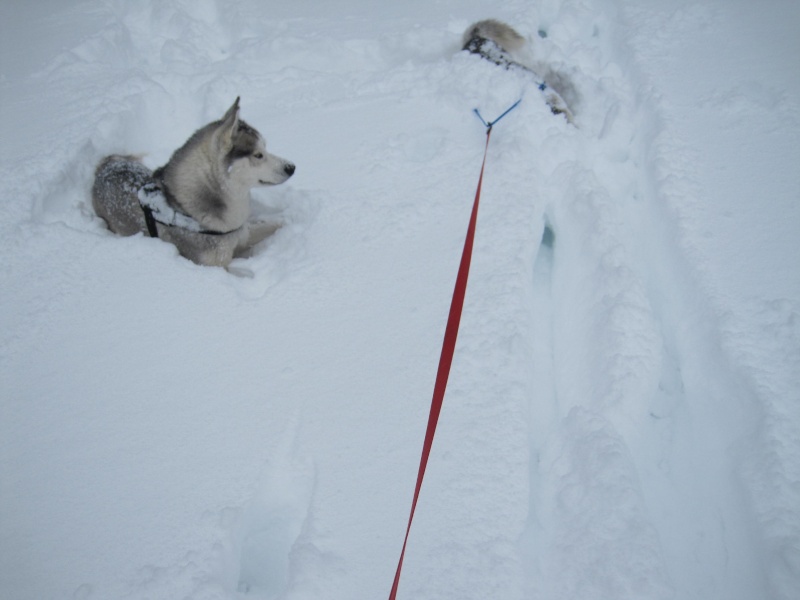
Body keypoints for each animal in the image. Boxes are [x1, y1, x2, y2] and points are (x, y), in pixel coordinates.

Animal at [92, 97, 296, 266]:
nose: (292, 167)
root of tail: (107, 164)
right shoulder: (213, 265)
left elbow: (277, 223)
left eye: (266, 148)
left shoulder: (242, 234)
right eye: (258, 155)